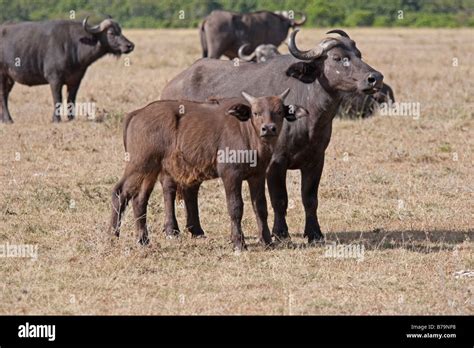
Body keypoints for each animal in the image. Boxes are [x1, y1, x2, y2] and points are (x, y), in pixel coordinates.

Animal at [0, 18, 134, 123]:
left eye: (120, 31)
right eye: (111, 33)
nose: (130, 45)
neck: (74, 46)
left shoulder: (75, 80)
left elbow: (71, 99)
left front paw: (71, 118)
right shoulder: (54, 79)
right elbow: (58, 99)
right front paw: (56, 119)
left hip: (10, 79)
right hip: (2, 75)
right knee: (3, 95)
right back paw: (8, 119)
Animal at [109, 88, 310, 249]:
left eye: (279, 111)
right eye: (256, 112)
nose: (268, 128)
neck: (249, 135)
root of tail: (136, 113)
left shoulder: (257, 176)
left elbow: (260, 207)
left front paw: (266, 240)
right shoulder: (230, 175)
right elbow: (236, 207)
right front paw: (239, 242)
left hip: (151, 169)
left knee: (139, 199)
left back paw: (143, 239)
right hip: (138, 164)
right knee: (120, 191)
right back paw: (112, 235)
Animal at [161, 29, 384, 242]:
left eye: (358, 54)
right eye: (338, 58)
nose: (375, 78)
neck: (308, 112)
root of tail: (170, 87)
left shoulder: (316, 160)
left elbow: (310, 198)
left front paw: (314, 233)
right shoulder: (275, 163)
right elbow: (279, 199)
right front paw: (280, 232)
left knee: (191, 188)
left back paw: (196, 229)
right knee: (169, 187)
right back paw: (172, 229)